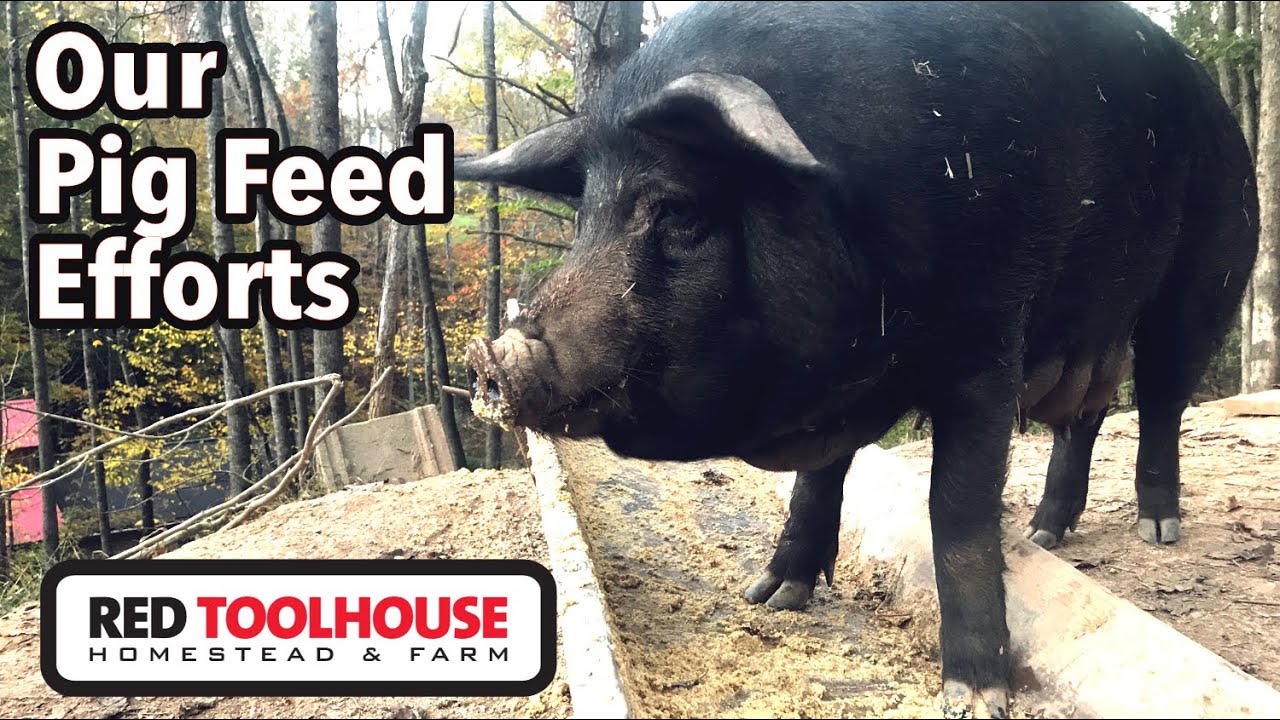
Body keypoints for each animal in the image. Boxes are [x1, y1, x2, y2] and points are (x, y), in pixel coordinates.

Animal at [456, 2, 1257, 716]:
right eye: (584, 218)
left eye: (678, 209)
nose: (492, 357)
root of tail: (1222, 109)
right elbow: (817, 480)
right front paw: (770, 596)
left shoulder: (988, 335)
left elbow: (956, 507)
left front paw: (974, 698)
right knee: (1085, 419)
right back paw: (1043, 532)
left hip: (1204, 283)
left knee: (1160, 401)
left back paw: (1159, 530)